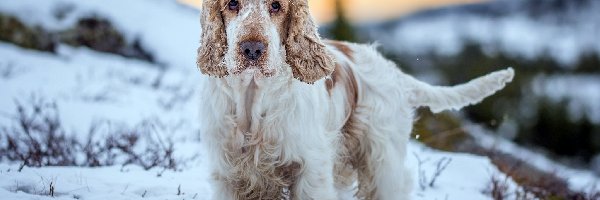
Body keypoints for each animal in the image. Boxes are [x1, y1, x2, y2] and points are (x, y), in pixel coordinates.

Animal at [197, 0, 516, 199]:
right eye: (232, 3)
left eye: (276, 5)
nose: (252, 49)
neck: (253, 98)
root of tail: (394, 72)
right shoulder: (229, 174)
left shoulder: (310, 171)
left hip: (382, 161)